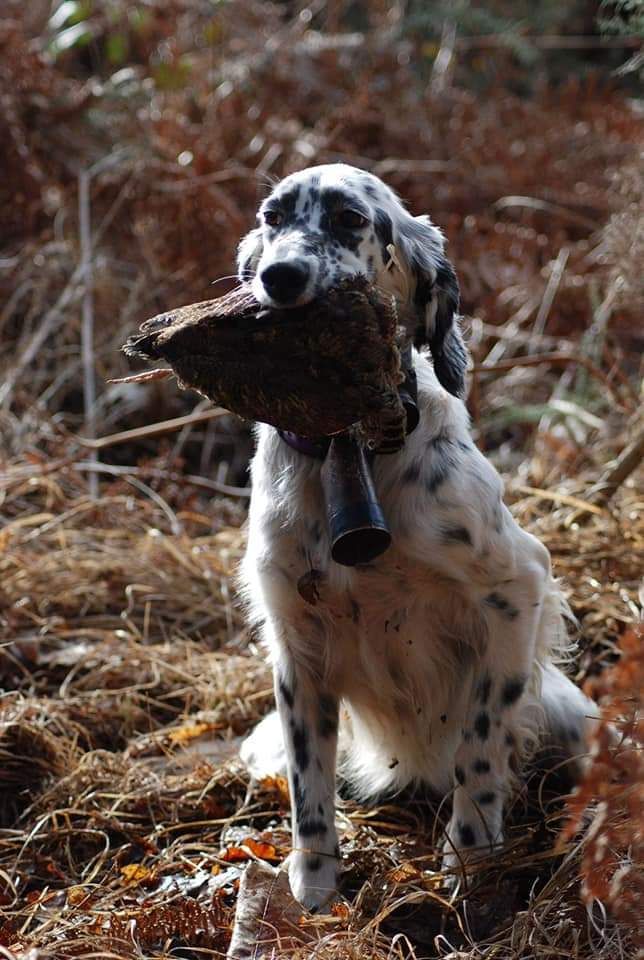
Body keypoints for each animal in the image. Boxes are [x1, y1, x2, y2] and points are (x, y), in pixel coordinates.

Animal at [235, 167, 592, 916]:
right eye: (272, 217)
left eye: (349, 218)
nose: (279, 275)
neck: (348, 456)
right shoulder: (296, 648)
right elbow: (309, 793)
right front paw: (312, 893)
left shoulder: (517, 590)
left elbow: (480, 744)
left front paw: (470, 859)